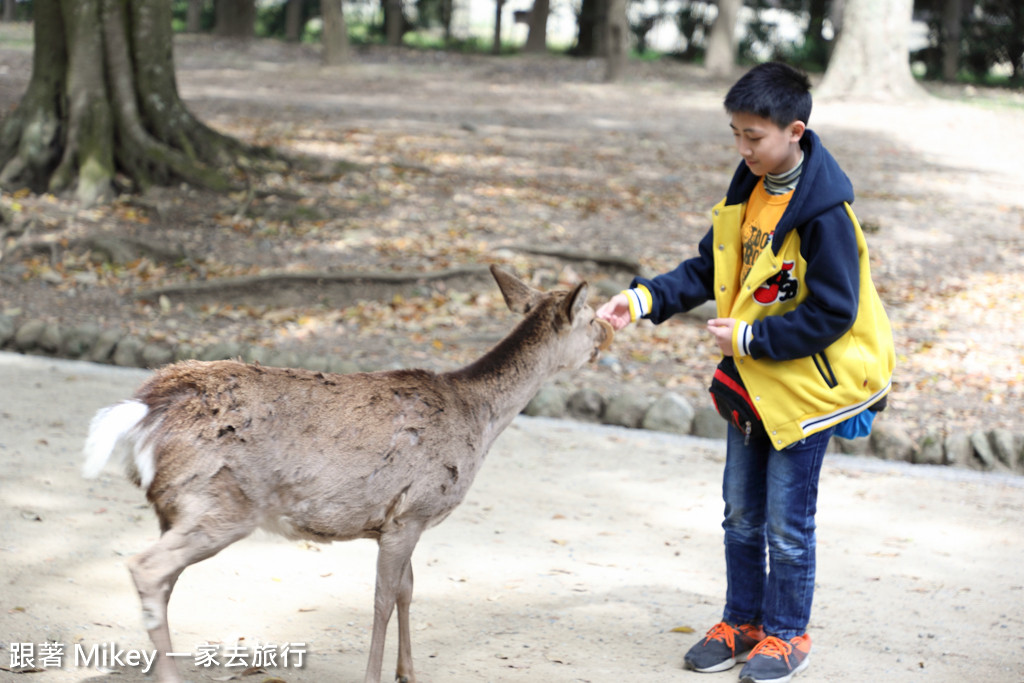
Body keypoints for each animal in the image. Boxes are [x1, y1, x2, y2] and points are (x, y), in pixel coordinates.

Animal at [83, 266, 610, 683]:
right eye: (589, 317)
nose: (609, 331)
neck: (479, 419)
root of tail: (143, 409)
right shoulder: (411, 511)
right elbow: (383, 598)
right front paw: (377, 676)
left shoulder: (401, 522)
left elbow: (407, 590)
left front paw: (407, 673)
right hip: (220, 504)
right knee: (146, 568)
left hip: (175, 507)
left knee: (163, 579)